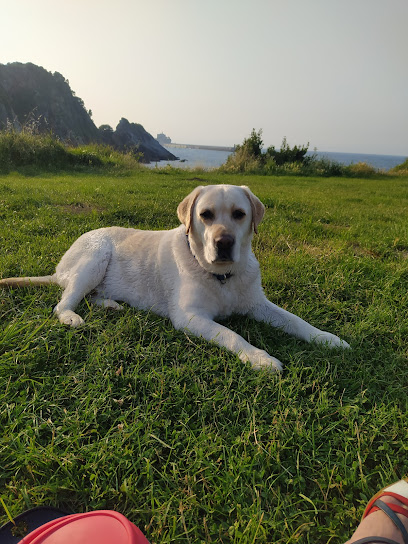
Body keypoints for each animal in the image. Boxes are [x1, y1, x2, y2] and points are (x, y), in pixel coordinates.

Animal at [0, 185, 350, 372]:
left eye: (239, 214)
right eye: (206, 215)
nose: (224, 243)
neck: (221, 276)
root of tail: (59, 268)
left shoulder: (258, 305)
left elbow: (296, 321)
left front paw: (328, 339)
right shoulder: (190, 317)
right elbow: (233, 335)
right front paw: (259, 358)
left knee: (92, 296)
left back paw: (111, 304)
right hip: (94, 257)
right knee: (64, 303)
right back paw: (73, 317)